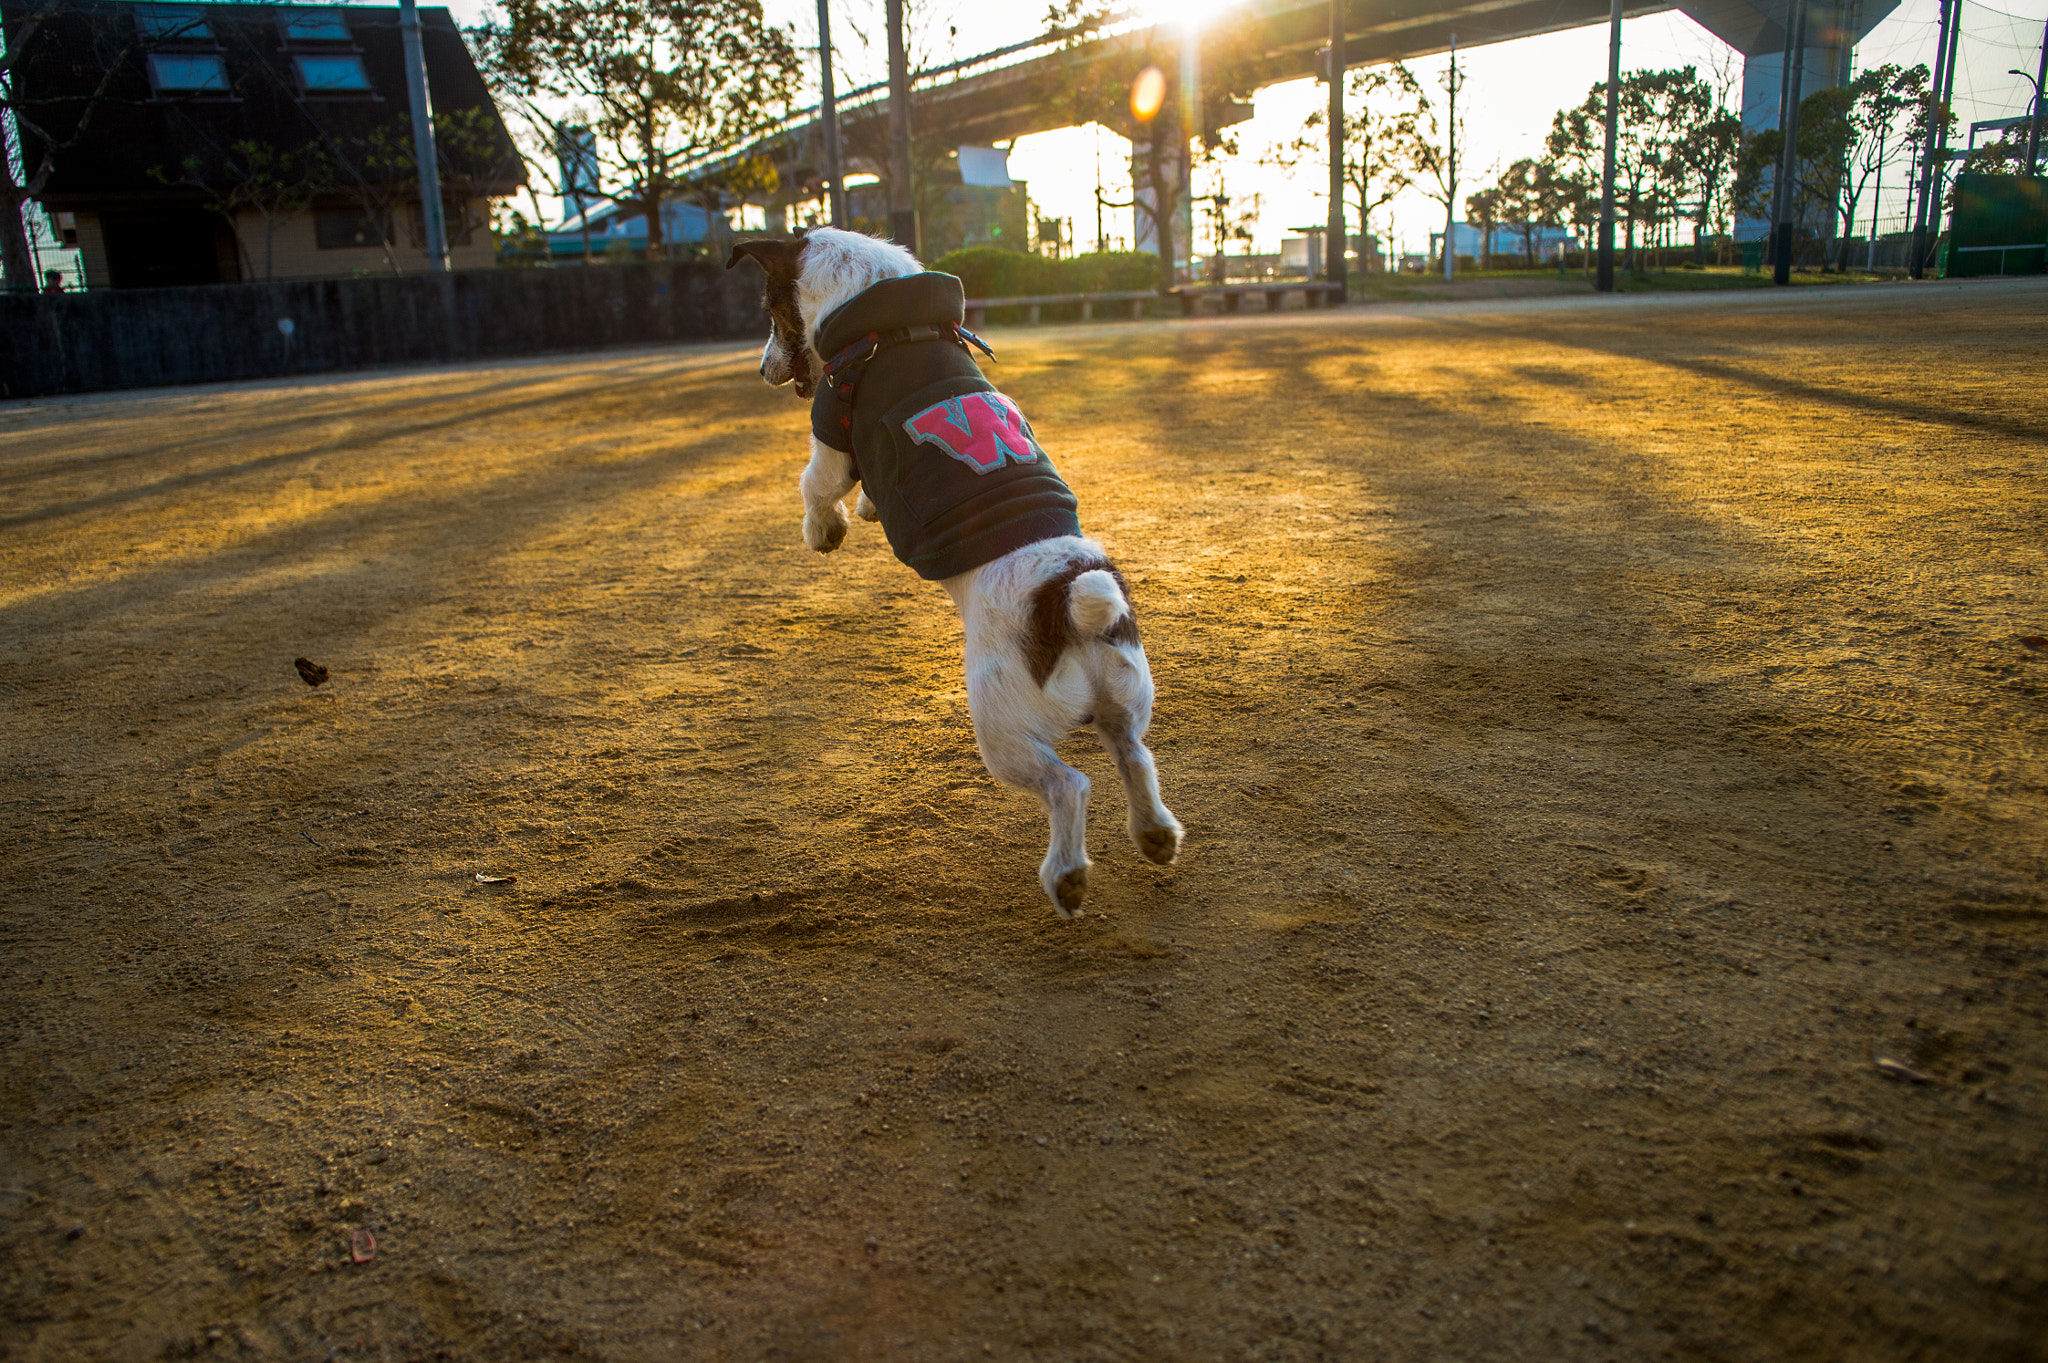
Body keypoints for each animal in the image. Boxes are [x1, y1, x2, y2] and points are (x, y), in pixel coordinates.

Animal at [724, 228, 1187, 916]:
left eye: (770, 309)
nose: (761, 369)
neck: (887, 316)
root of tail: (1065, 599)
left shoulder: (832, 430)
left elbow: (815, 486)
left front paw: (824, 530)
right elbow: (864, 492)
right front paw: (867, 510)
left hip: (1002, 728)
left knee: (1070, 784)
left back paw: (1066, 876)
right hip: (1122, 694)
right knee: (1135, 756)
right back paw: (1154, 833)